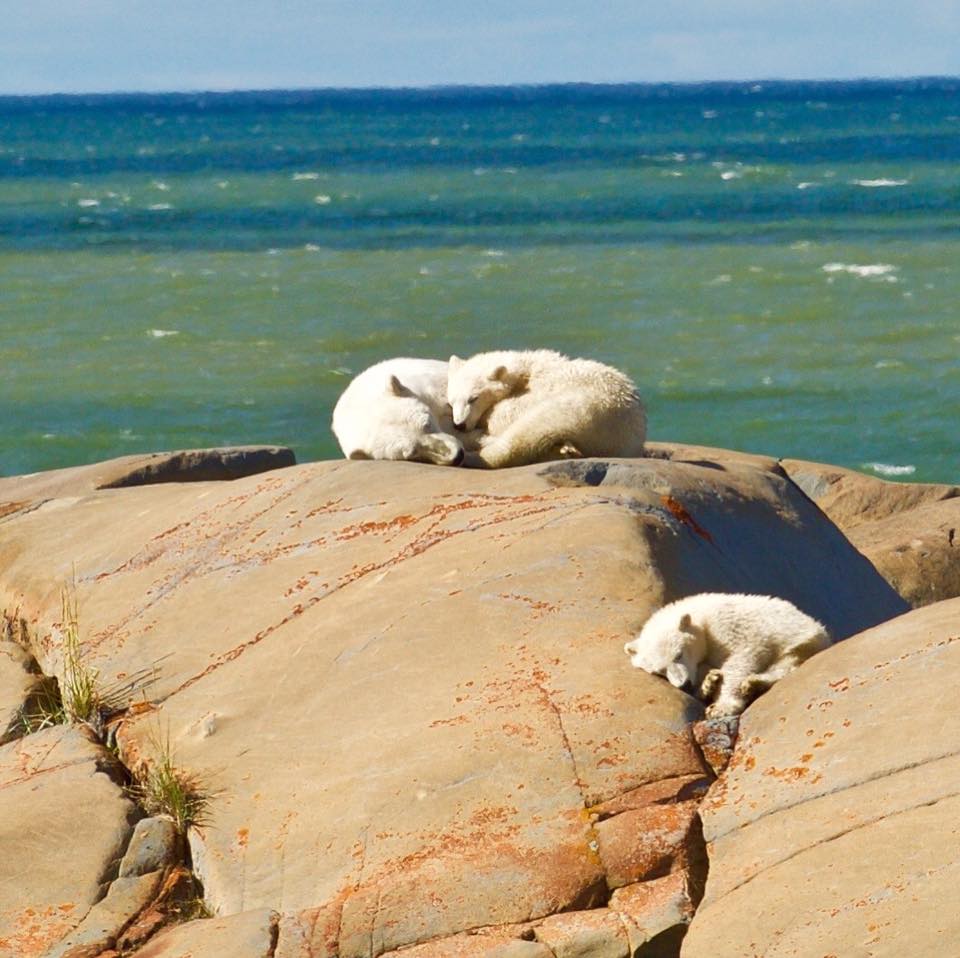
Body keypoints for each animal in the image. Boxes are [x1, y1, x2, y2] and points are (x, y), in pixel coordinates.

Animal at [445, 349, 646, 469]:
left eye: (473, 399)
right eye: (451, 401)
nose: (459, 425)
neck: (527, 370)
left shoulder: (537, 390)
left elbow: (504, 413)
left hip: (585, 406)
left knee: (527, 432)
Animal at [623, 593, 831, 718]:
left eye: (679, 655)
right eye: (659, 671)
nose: (684, 685)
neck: (700, 617)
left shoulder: (730, 628)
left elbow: (742, 658)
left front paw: (722, 706)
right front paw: (708, 684)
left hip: (804, 639)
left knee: (787, 663)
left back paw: (755, 683)